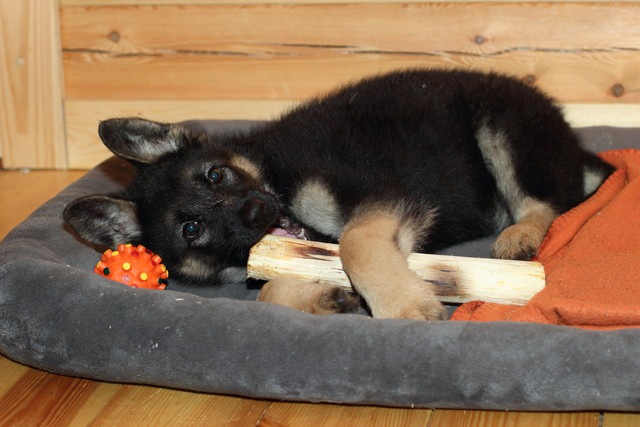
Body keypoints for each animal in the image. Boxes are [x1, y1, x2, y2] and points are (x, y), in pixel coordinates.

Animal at [62, 67, 612, 320]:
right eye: (191, 229)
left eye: (215, 175)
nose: (258, 211)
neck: (277, 174)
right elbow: (270, 293)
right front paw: (327, 297)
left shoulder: (385, 200)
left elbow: (355, 244)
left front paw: (402, 305)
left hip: (502, 126)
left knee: (544, 201)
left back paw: (522, 234)